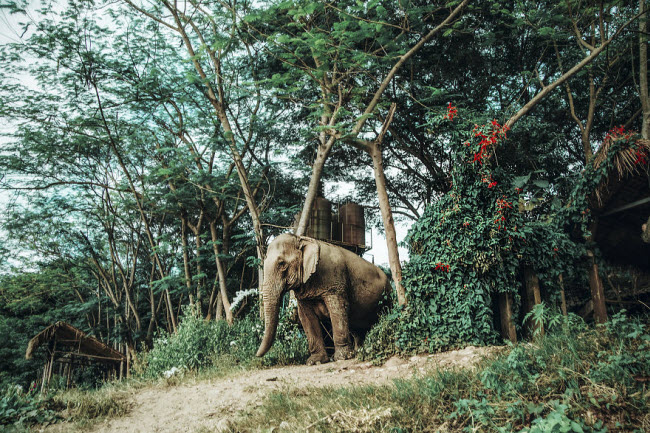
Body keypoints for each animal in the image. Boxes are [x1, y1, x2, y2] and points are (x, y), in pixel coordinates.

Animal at [256, 233, 390, 364]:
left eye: (282, 264)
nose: (257, 356)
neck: (303, 239)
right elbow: (306, 317)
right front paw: (315, 361)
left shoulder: (335, 282)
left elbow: (338, 311)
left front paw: (342, 358)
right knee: (356, 328)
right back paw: (358, 352)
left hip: (387, 295)